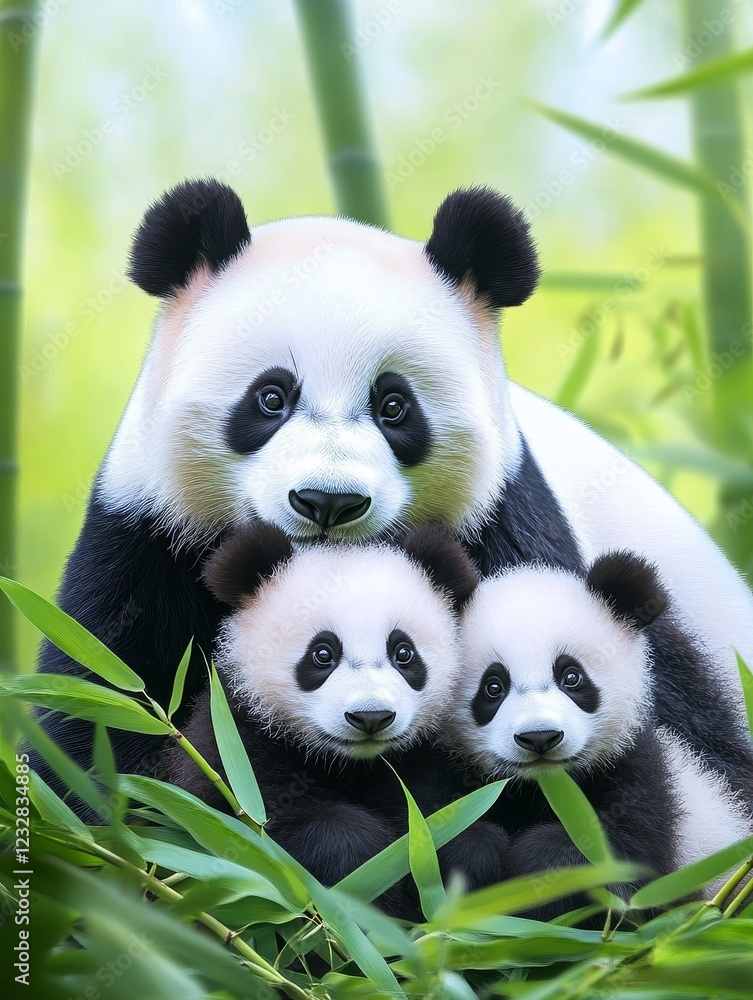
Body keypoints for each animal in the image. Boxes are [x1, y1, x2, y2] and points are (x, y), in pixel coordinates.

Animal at [32, 178, 753, 788]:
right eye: (270, 398)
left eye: (394, 406)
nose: (327, 501)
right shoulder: (149, 535)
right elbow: (102, 714)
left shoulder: (506, 530)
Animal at [166, 520, 478, 895]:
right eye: (322, 654)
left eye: (404, 653)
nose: (371, 717)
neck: (351, 764)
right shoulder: (234, 741)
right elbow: (250, 824)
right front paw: (357, 857)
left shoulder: (425, 757)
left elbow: (452, 817)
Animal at [439, 550, 753, 916]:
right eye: (493, 687)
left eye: (572, 677)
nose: (540, 737)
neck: (542, 788)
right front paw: (477, 859)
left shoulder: (638, 775)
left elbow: (627, 867)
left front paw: (542, 863)